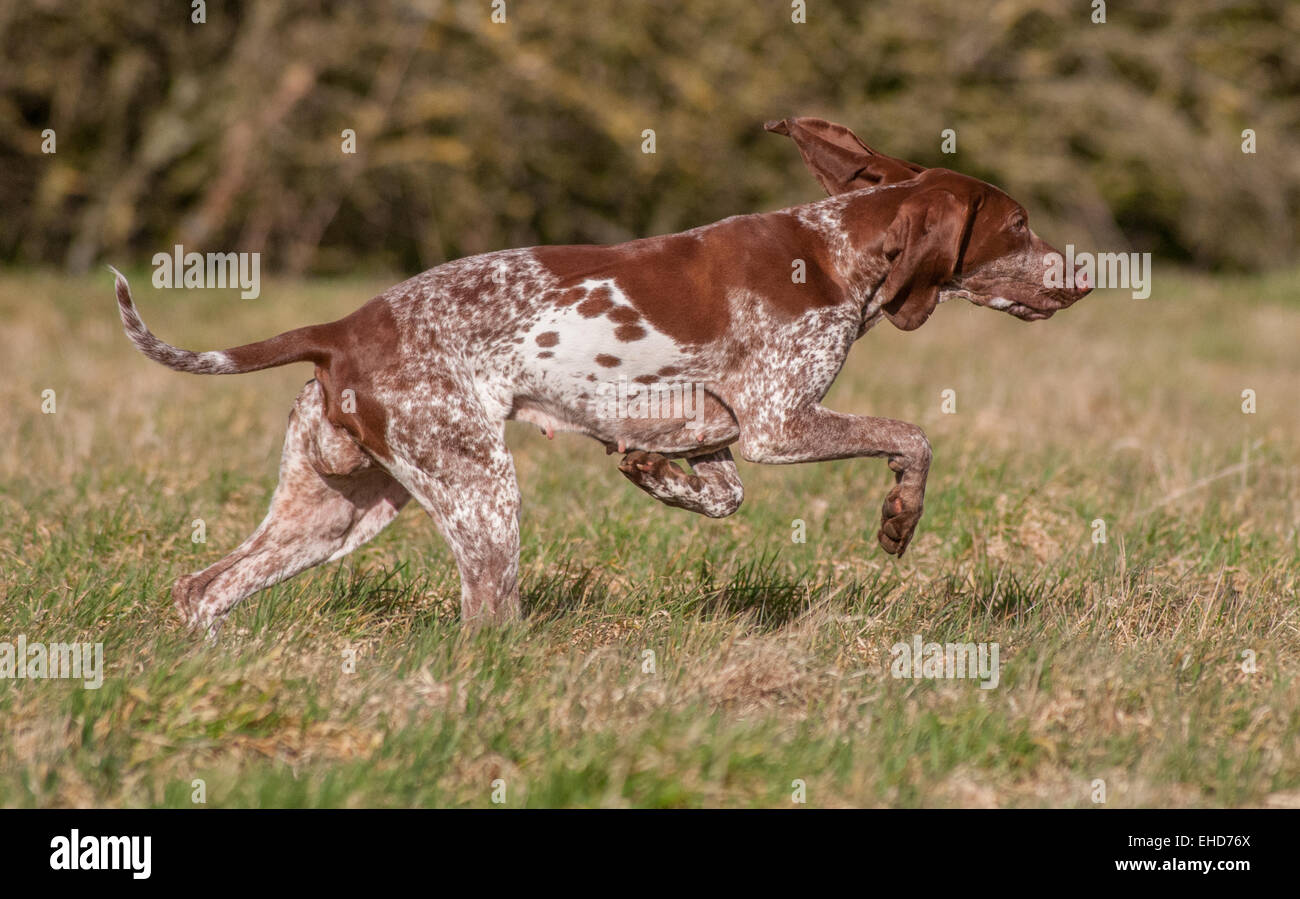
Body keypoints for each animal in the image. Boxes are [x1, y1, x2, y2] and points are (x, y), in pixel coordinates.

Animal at [111, 117, 1092, 631]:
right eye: (1018, 226)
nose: (1083, 275)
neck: (839, 246)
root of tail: (340, 328)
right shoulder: (781, 424)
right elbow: (913, 437)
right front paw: (899, 519)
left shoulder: (718, 432)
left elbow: (715, 490)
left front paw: (654, 477)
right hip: (480, 489)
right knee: (486, 613)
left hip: (338, 508)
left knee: (204, 586)